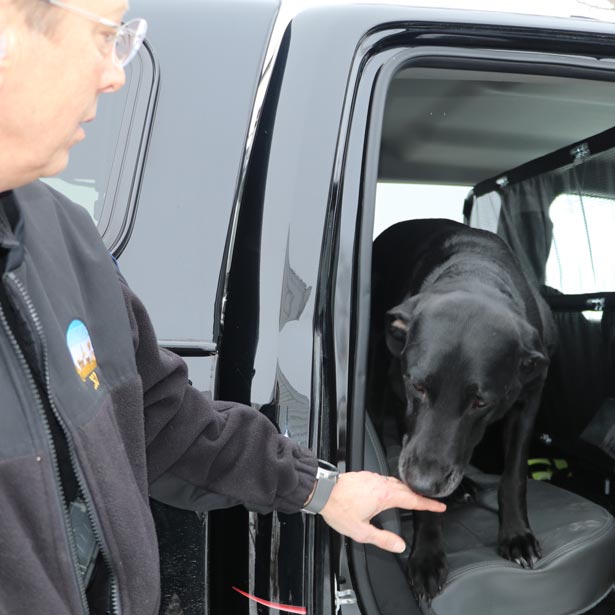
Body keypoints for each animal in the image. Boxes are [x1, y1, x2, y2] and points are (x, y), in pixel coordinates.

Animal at [370, 219, 560, 604]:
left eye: (480, 403)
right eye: (418, 386)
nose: (423, 481)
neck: (476, 272)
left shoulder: (529, 398)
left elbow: (514, 475)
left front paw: (516, 535)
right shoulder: (403, 395)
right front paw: (426, 557)